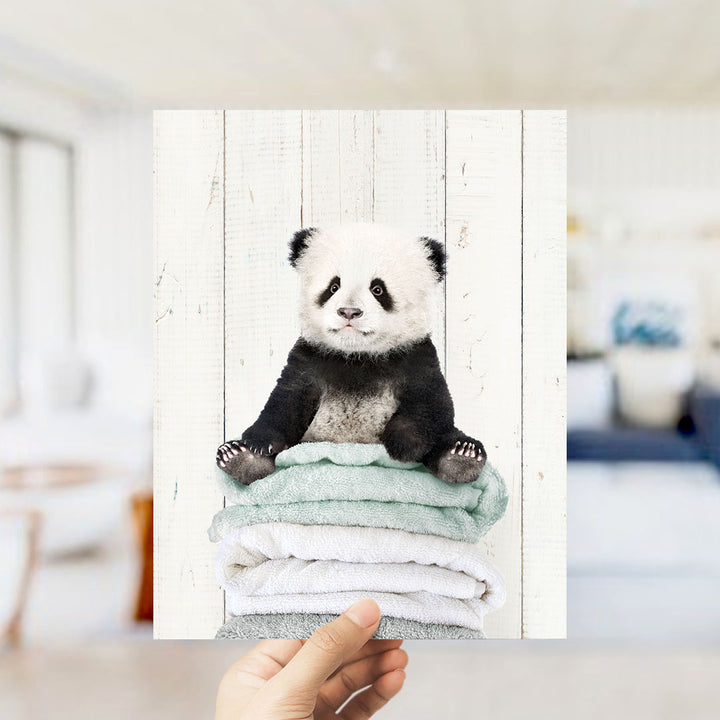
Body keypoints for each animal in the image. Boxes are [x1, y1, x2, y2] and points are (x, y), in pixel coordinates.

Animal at [216, 224, 487, 485]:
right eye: (333, 286)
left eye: (378, 289)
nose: (349, 312)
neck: (357, 356)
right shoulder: (310, 357)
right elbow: (286, 399)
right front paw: (258, 443)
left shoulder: (416, 356)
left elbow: (431, 403)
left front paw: (405, 445)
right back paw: (240, 458)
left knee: (448, 435)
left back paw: (461, 456)